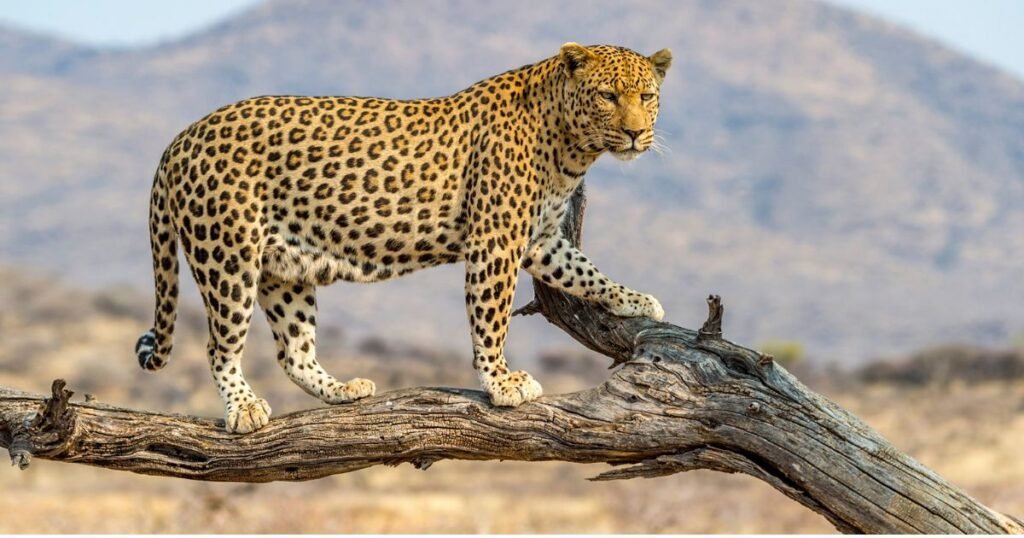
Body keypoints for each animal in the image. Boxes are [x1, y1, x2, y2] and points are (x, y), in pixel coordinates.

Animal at [134, 43, 672, 433]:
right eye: (607, 96)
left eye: (646, 97)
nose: (635, 134)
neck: (571, 148)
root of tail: (179, 139)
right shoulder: (495, 240)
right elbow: (491, 318)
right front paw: (500, 382)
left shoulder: (539, 239)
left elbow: (585, 271)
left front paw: (635, 300)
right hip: (228, 256)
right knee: (220, 346)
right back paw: (243, 410)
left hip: (284, 269)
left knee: (294, 352)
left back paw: (342, 391)